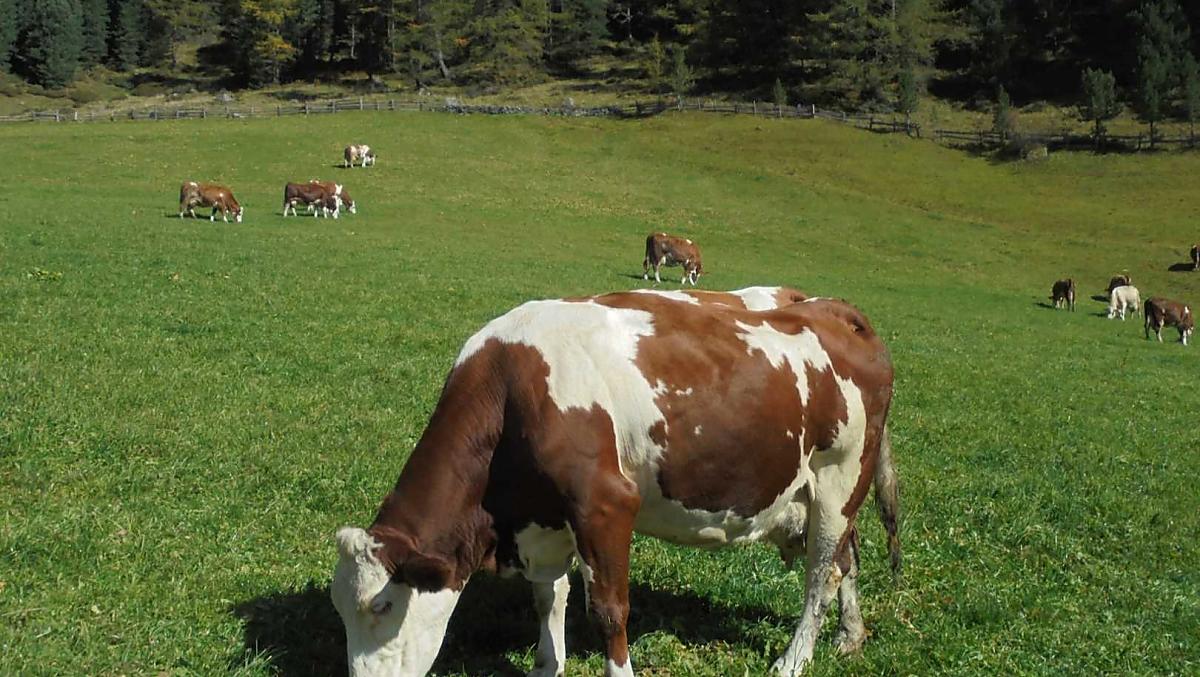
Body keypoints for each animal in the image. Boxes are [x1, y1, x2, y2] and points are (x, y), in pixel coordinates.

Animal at [332, 290, 899, 677]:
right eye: (339, 609)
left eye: (382, 606)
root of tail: (833, 309)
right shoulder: (546, 518)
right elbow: (548, 597)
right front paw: (546, 665)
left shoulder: (604, 505)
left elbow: (608, 611)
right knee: (848, 560)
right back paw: (850, 636)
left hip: (840, 479)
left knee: (822, 573)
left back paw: (793, 659)